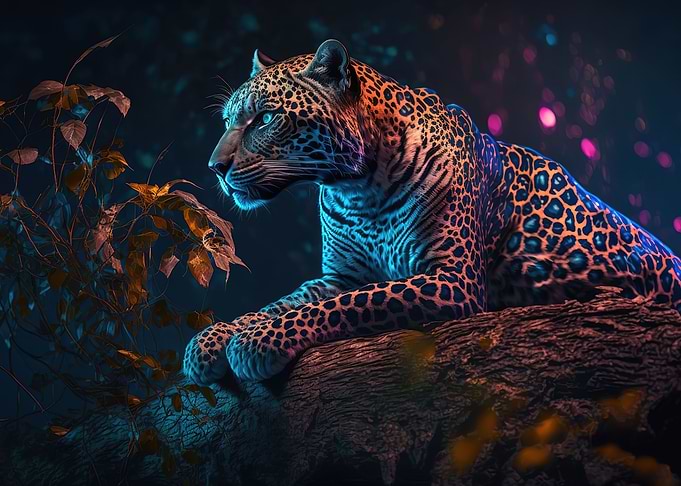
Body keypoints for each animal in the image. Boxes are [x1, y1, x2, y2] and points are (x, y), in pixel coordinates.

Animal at [183, 39, 681, 384]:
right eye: (227, 121)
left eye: (265, 118)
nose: (214, 167)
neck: (356, 189)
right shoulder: (338, 275)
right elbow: (283, 302)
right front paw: (214, 338)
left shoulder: (450, 279)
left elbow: (351, 304)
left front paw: (257, 341)